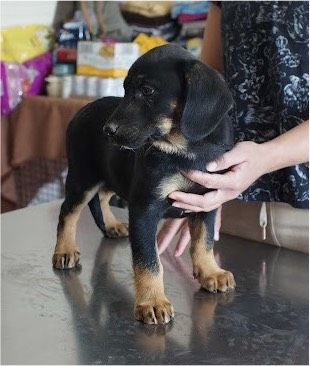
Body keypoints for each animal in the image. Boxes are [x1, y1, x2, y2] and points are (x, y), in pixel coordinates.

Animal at [52, 44, 235, 324]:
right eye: (125, 90)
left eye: (147, 91)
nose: (108, 131)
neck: (185, 149)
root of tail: (80, 111)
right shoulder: (144, 208)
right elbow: (148, 260)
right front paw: (152, 302)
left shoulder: (206, 201)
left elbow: (204, 242)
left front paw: (210, 272)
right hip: (82, 177)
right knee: (68, 211)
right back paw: (65, 250)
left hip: (110, 174)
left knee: (101, 198)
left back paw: (112, 225)